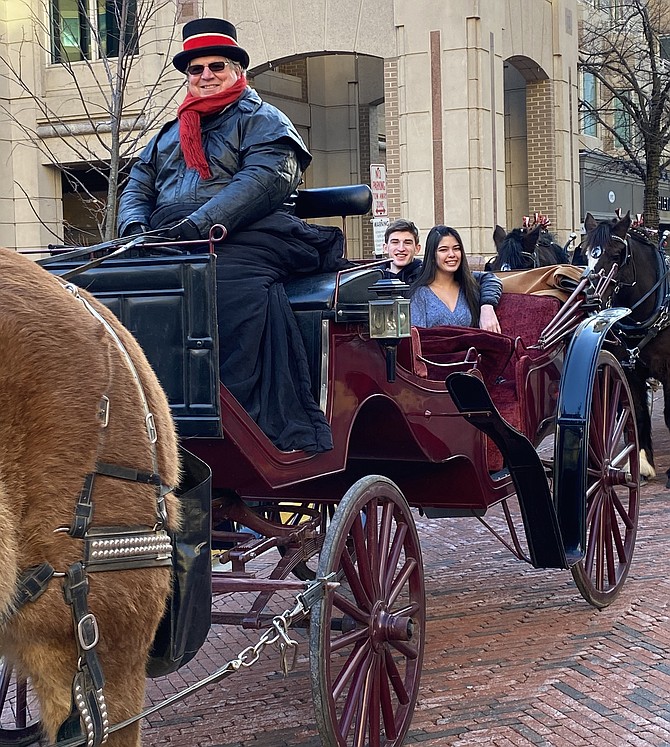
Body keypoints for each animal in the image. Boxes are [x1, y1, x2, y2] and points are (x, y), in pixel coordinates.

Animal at [580, 212, 668, 486]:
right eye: (586, 253)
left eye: (618, 254)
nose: (589, 296)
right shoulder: (630, 370)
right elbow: (637, 413)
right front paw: (641, 464)